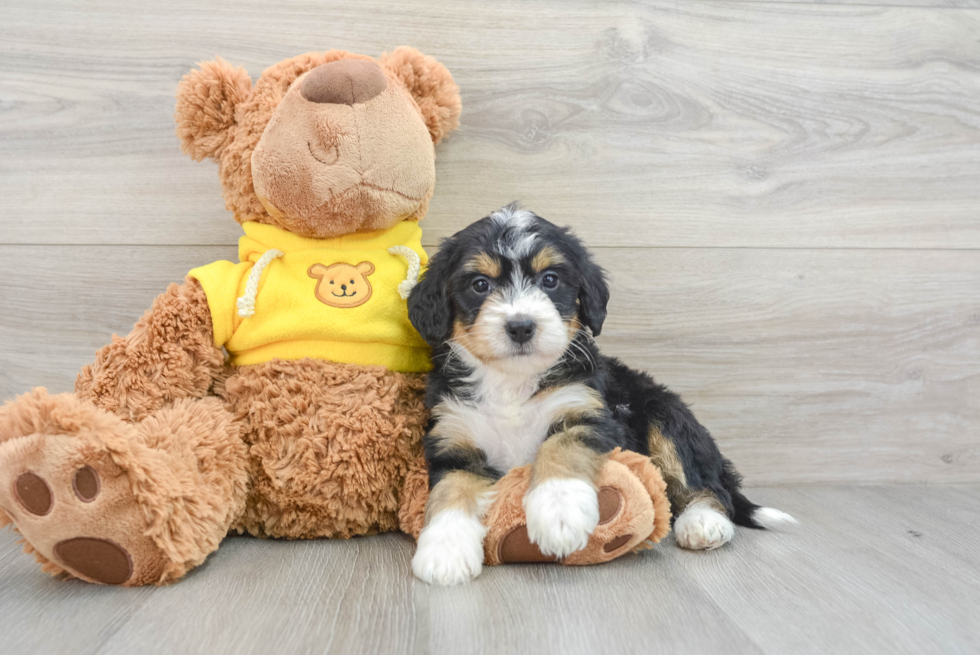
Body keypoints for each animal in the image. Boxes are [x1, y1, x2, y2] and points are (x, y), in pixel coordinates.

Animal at [406, 204, 796, 584]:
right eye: (480, 284)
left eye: (550, 280)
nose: (521, 327)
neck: (513, 383)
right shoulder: (454, 441)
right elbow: (451, 490)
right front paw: (445, 551)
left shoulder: (589, 413)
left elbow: (562, 446)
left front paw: (559, 512)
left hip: (666, 414)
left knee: (710, 487)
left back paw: (704, 522)